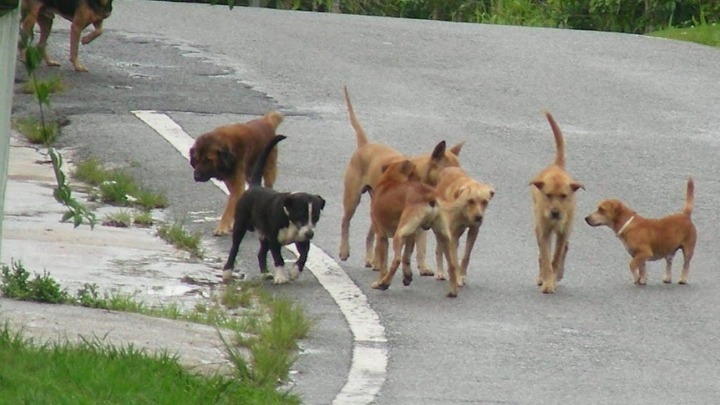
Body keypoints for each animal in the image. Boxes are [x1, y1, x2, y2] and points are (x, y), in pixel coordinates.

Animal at [222, 135, 326, 284]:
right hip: (241, 225)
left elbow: (304, 255)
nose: (310, 234)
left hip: (264, 235)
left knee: (261, 253)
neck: (289, 219)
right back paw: (227, 272)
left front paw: (294, 272)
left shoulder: (301, 240)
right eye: (301, 215)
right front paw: (281, 276)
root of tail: (255, 186)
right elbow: (278, 258)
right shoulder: (274, 239)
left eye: (316, 217)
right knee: (235, 248)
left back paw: (266, 273)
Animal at [372, 159, 462, 296]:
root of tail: (430, 194)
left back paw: (384, 283)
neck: (389, 181)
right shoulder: (411, 235)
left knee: (396, 260)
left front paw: (379, 281)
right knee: (451, 264)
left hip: (399, 234)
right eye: (415, 172)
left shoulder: (382, 236)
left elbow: (384, 265)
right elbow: (407, 256)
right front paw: (407, 276)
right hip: (444, 236)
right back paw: (452, 291)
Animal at [528, 110, 584, 294]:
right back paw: (543, 277)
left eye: (564, 196)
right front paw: (547, 281)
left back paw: (557, 274)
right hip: (538, 227)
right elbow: (546, 258)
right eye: (548, 195)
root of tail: (556, 165)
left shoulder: (563, 231)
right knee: (541, 253)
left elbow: (556, 256)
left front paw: (552, 278)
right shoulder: (544, 231)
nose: (555, 213)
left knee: (564, 248)